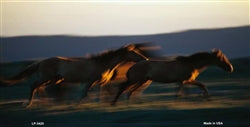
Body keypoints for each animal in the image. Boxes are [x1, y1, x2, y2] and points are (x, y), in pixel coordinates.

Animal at [0, 43, 150, 107]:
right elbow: (84, 93)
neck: (101, 64)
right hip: (46, 77)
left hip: (53, 80)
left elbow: (106, 92)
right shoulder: (91, 81)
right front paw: (76, 104)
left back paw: (44, 103)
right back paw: (29, 104)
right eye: (133, 52)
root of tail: (40, 62)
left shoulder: (101, 82)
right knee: (34, 86)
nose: (145, 58)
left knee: (38, 87)